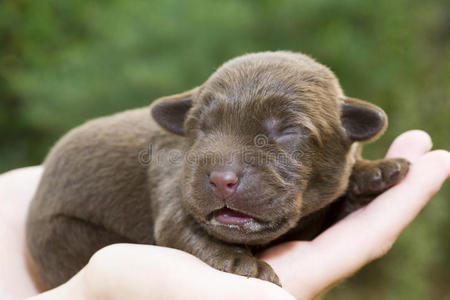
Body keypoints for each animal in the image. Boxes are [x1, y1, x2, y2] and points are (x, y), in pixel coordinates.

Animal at [26, 51, 410, 288]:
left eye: (289, 131)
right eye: (201, 127)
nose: (221, 180)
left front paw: (373, 172)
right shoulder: (175, 184)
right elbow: (185, 226)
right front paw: (240, 261)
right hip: (62, 234)